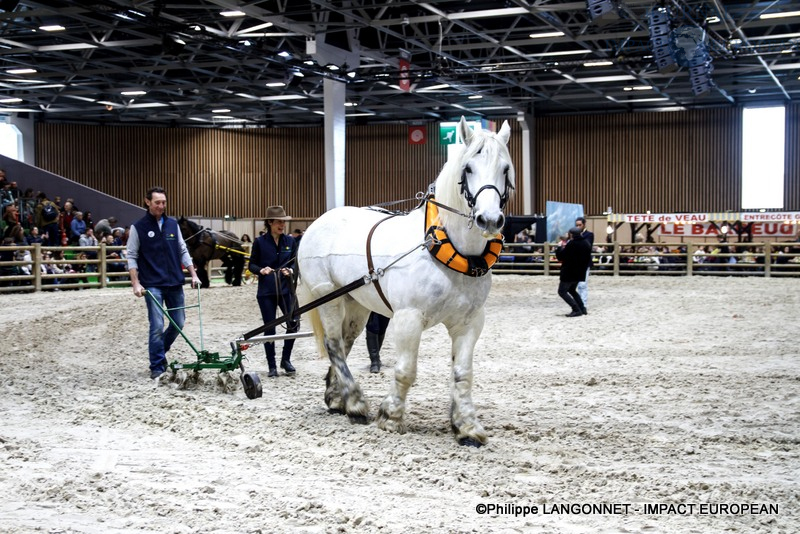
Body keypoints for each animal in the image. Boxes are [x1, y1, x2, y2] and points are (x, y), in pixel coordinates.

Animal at [296, 118, 516, 448]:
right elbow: (406, 370)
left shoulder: (470, 322)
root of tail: (317, 222)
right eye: (468, 168)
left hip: (356, 303)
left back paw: (337, 398)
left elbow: (463, 373)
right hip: (329, 297)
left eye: (505, 168)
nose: (489, 220)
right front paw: (391, 416)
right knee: (333, 344)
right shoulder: (408, 318)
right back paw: (356, 404)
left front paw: (466, 426)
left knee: (345, 345)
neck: (446, 247)